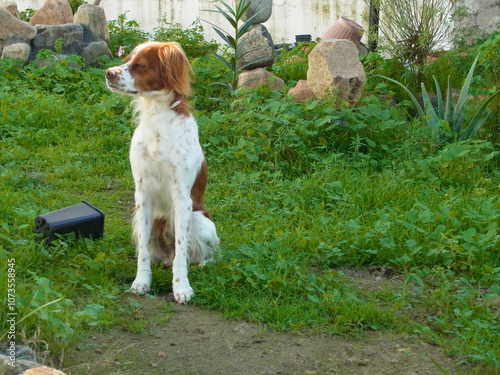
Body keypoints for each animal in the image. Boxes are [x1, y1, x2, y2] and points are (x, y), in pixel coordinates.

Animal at [105, 41, 219, 306]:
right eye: (125, 59)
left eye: (139, 65)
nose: (107, 73)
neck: (157, 116)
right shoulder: (142, 193)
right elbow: (144, 252)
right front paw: (141, 281)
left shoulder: (182, 197)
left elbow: (181, 251)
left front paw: (182, 288)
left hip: (202, 222)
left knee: (200, 254)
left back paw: (203, 263)